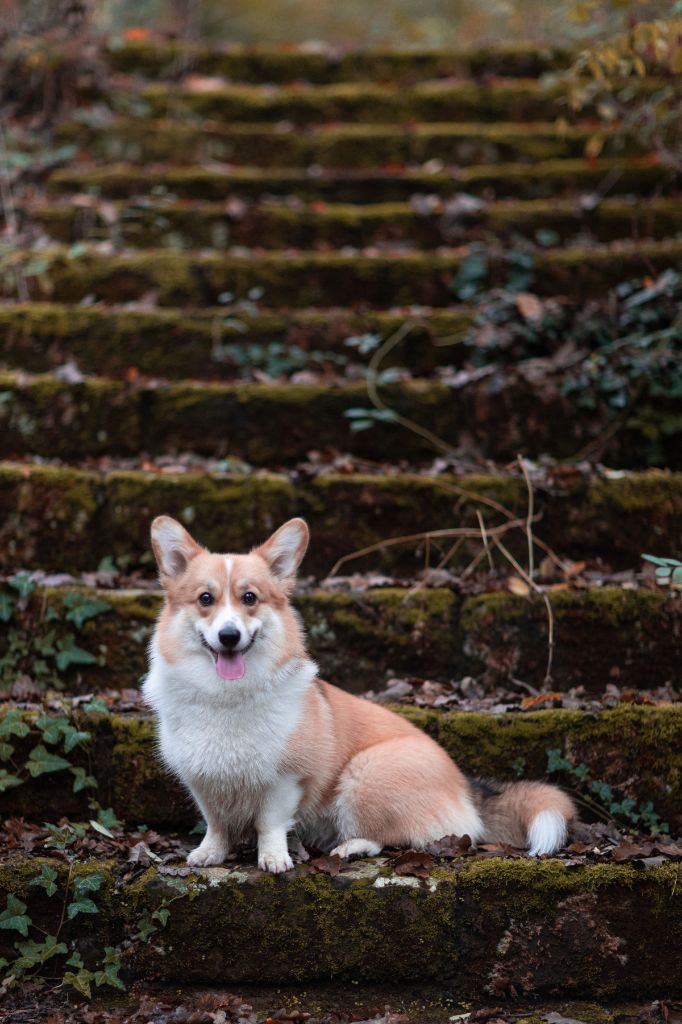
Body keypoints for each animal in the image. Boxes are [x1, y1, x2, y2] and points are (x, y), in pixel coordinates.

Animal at [144, 516, 573, 876]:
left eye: (249, 598)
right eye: (205, 599)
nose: (229, 636)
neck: (226, 697)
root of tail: (466, 789)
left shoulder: (285, 781)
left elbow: (270, 824)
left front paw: (274, 859)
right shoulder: (202, 780)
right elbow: (216, 825)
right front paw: (210, 854)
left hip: (363, 776)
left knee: (395, 838)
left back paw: (352, 847)